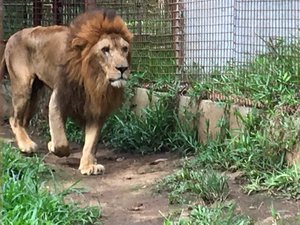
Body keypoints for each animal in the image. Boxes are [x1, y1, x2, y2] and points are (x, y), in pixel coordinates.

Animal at [0, 9, 132, 176]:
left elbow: (91, 142)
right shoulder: (58, 99)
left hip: (35, 96)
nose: (123, 68)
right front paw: (53, 146)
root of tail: (12, 36)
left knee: (23, 121)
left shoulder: (96, 108)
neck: (94, 79)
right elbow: (60, 140)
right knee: (14, 119)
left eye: (124, 49)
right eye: (105, 50)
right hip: (23, 87)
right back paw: (26, 145)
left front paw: (88, 165)